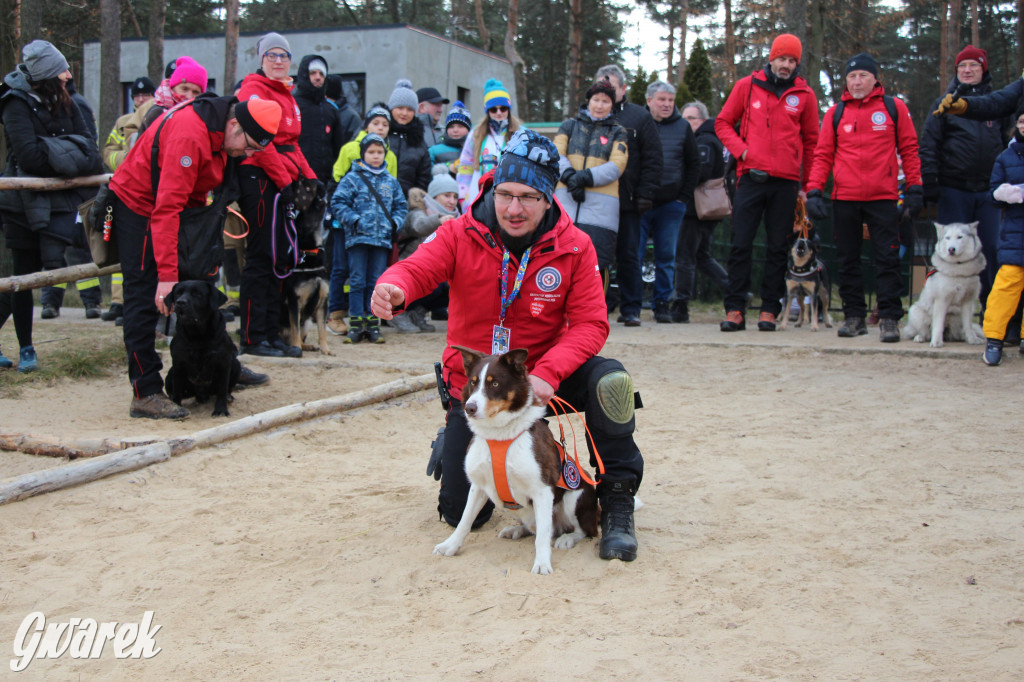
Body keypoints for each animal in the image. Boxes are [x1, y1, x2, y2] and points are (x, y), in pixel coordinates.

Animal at [164, 280, 242, 413]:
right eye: (178, 293)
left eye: (197, 294)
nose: (180, 302)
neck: (198, 335)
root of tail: (202, 396)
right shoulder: (178, 364)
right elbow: (177, 390)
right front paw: (177, 408)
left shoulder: (224, 363)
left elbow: (222, 389)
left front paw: (220, 409)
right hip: (170, 374)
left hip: (236, 365)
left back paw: (228, 397)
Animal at [432, 346, 598, 573]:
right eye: (473, 382)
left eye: (494, 384)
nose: (469, 408)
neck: (499, 435)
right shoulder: (478, 486)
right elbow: (464, 520)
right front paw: (451, 545)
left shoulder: (542, 490)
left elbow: (543, 536)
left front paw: (542, 563)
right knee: (537, 528)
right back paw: (516, 530)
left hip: (576, 496)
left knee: (582, 530)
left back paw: (567, 538)